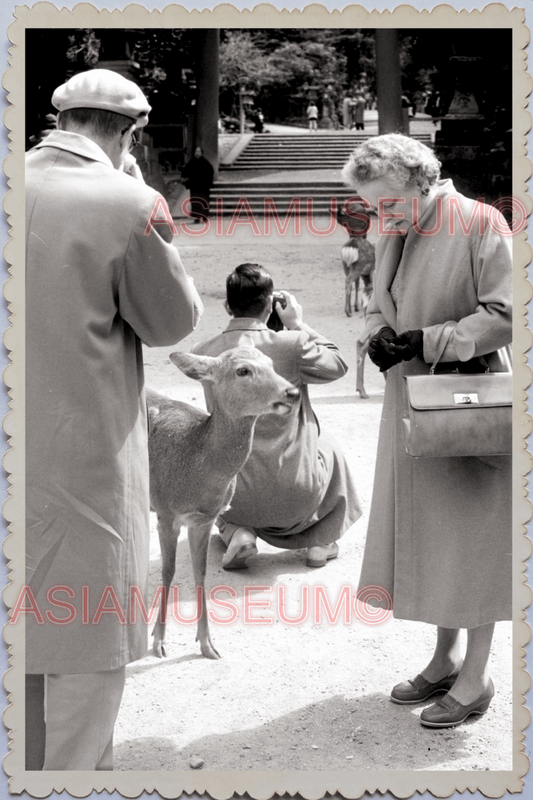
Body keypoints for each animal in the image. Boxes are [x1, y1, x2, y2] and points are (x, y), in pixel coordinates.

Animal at [148, 344, 300, 664]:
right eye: (243, 370)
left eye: (271, 363)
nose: (291, 392)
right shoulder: (166, 511)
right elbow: (168, 571)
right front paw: (158, 641)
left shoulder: (204, 519)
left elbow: (201, 572)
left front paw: (207, 645)